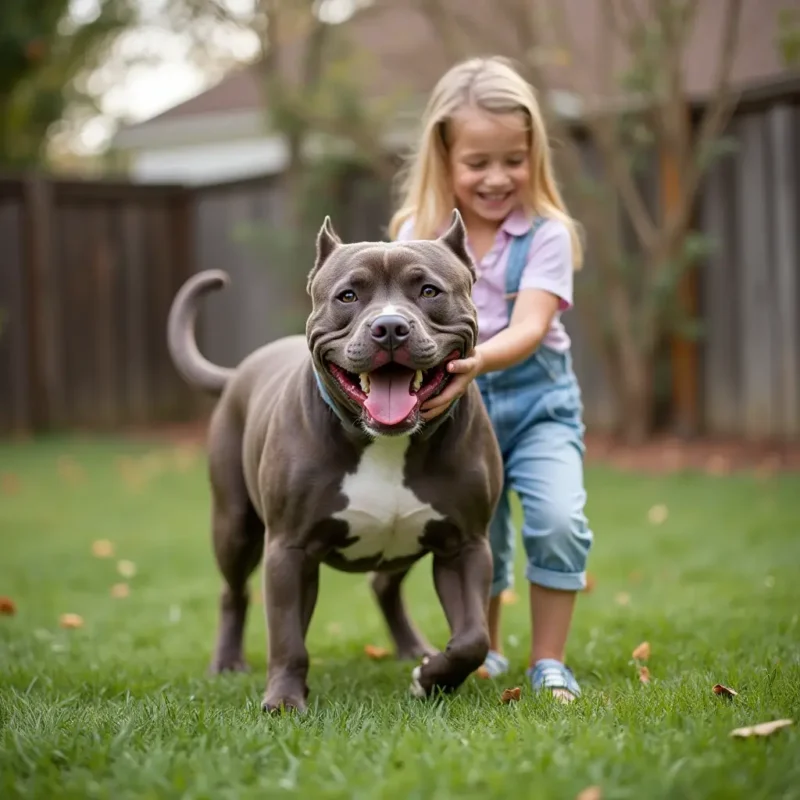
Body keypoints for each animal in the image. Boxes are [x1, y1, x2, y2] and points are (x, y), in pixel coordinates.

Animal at [166, 209, 504, 708]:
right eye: (348, 295)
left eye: (428, 291)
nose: (389, 327)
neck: (386, 443)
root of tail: (240, 370)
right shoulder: (289, 549)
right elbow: (287, 638)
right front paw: (285, 700)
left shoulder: (465, 545)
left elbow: (472, 638)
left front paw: (431, 678)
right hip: (234, 524)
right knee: (234, 591)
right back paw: (227, 662)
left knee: (384, 584)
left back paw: (413, 649)